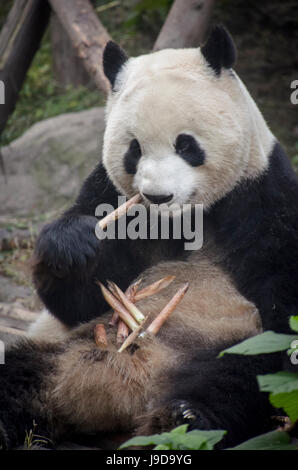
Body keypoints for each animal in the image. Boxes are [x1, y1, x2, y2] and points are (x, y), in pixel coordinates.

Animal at [0, 24, 298, 448]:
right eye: (134, 150)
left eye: (186, 144)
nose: (158, 197)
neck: (182, 220)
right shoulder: (107, 192)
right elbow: (79, 301)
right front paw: (72, 246)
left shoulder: (263, 197)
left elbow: (281, 310)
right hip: (56, 351)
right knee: (16, 373)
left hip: (211, 349)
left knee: (237, 377)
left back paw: (181, 417)